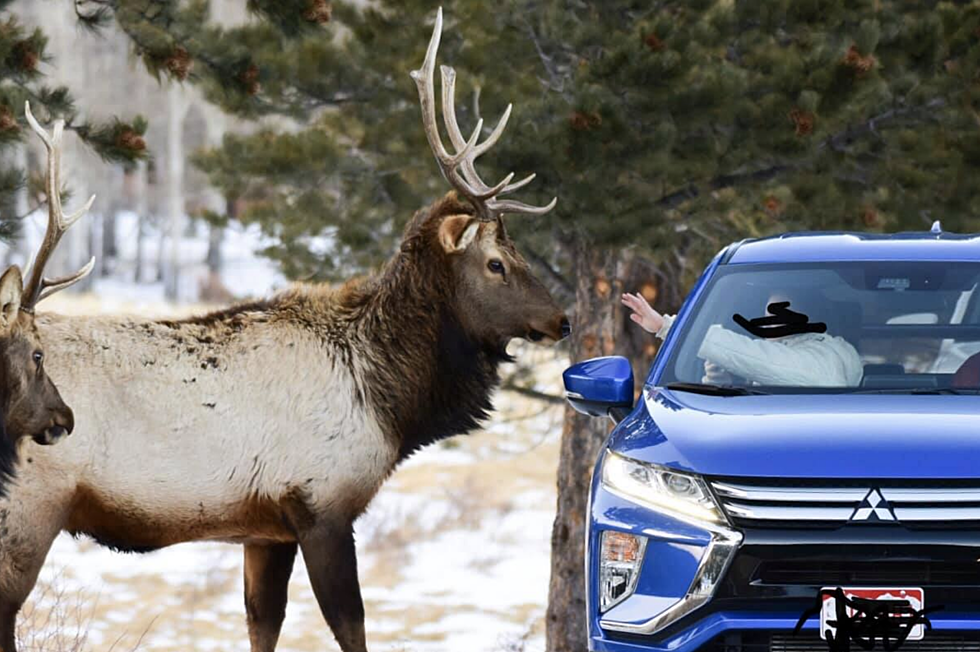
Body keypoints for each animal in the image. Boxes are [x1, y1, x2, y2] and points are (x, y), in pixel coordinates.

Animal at [0, 10, 568, 652]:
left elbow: (261, 623)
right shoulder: (321, 505)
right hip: (29, 507)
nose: (562, 318)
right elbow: (350, 625)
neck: (389, 401)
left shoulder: (265, 529)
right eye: (496, 263)